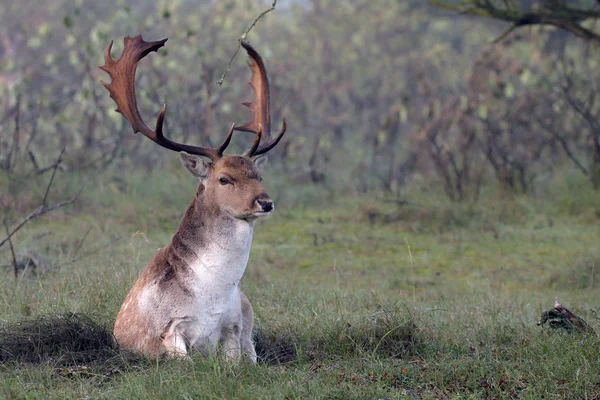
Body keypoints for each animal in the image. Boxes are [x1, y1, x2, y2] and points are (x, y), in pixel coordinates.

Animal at [98, 36, 286, 362]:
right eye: (224, 178)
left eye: (258, 176)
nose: (265, 202)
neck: (211, 298)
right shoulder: (170, 329)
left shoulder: (233, 326)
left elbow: (239, 361)